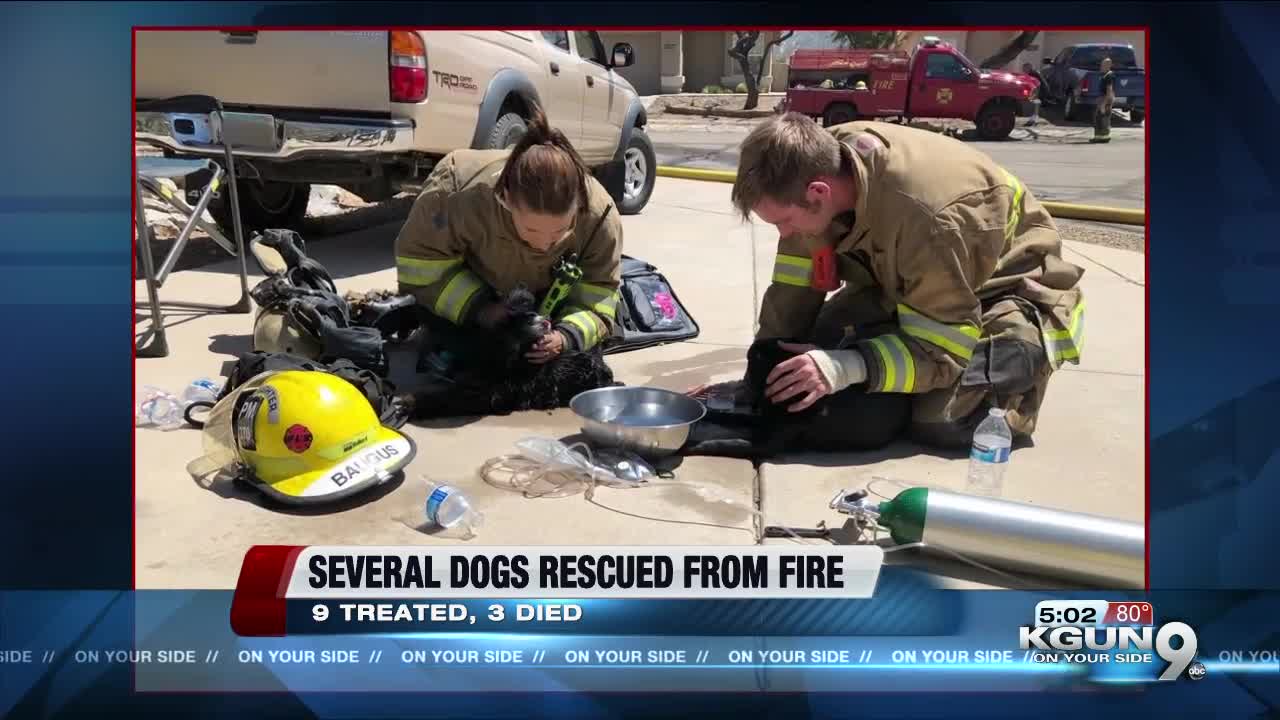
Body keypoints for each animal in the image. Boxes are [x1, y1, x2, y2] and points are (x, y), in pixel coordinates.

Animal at [686, 335, 916, 456]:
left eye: (756, 359)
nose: (756, 342)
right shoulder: (763, 420)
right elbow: (730, 417)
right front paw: (708, 414)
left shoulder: (767, 444)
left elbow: (727, 443)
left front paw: (692, 446)